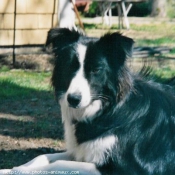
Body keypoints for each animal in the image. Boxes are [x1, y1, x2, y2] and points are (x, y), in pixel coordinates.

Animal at [1, 28, 175, 174]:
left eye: (96, 70)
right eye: (69, 67)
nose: (73, 100)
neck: (109, 108)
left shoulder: (128, 168)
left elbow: (58, 165)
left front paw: (20, 171)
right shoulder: (80, 151)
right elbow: (42, 157)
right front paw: (11, 169)